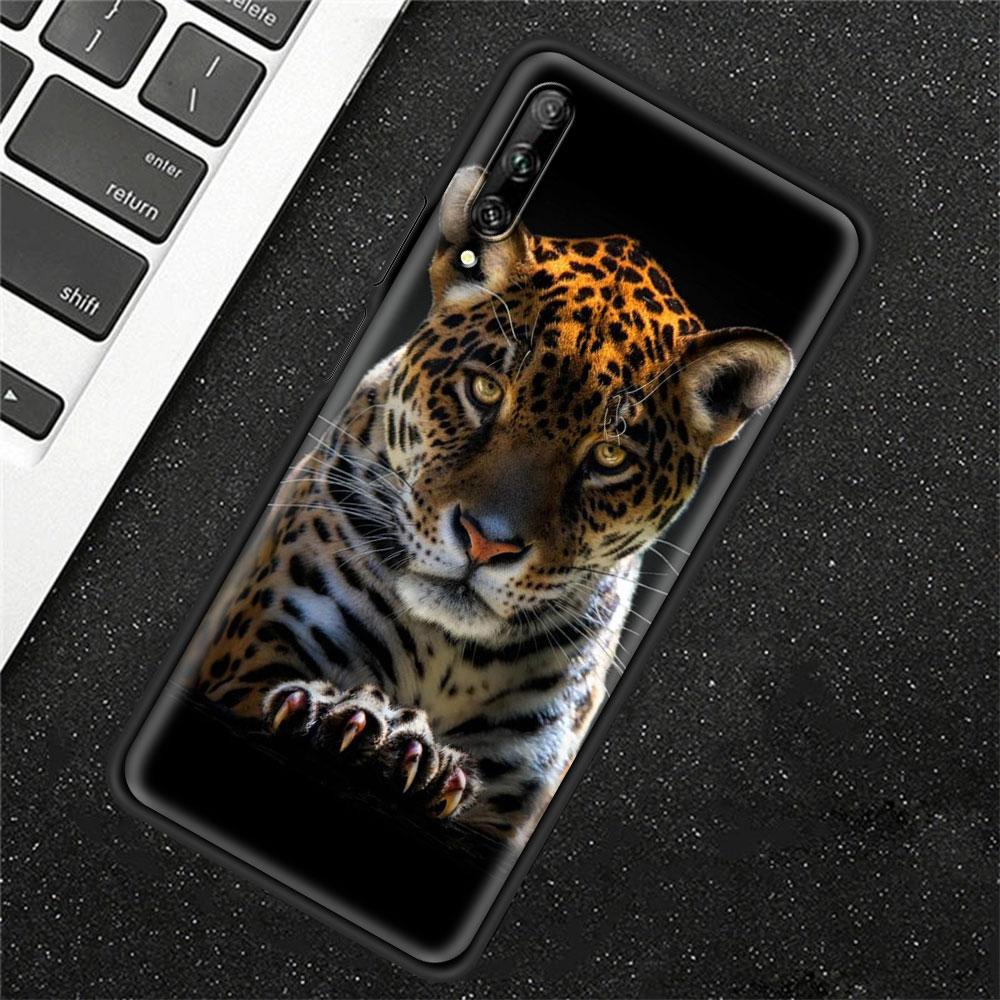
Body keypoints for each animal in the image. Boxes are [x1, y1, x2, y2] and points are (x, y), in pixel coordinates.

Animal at [190, 166, 792, 846]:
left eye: (609, 456)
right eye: (484, 390)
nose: (486, 542)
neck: (450, 654)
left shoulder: (518, 793)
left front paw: (403, 751)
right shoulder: (251, 660)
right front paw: (361, 728)